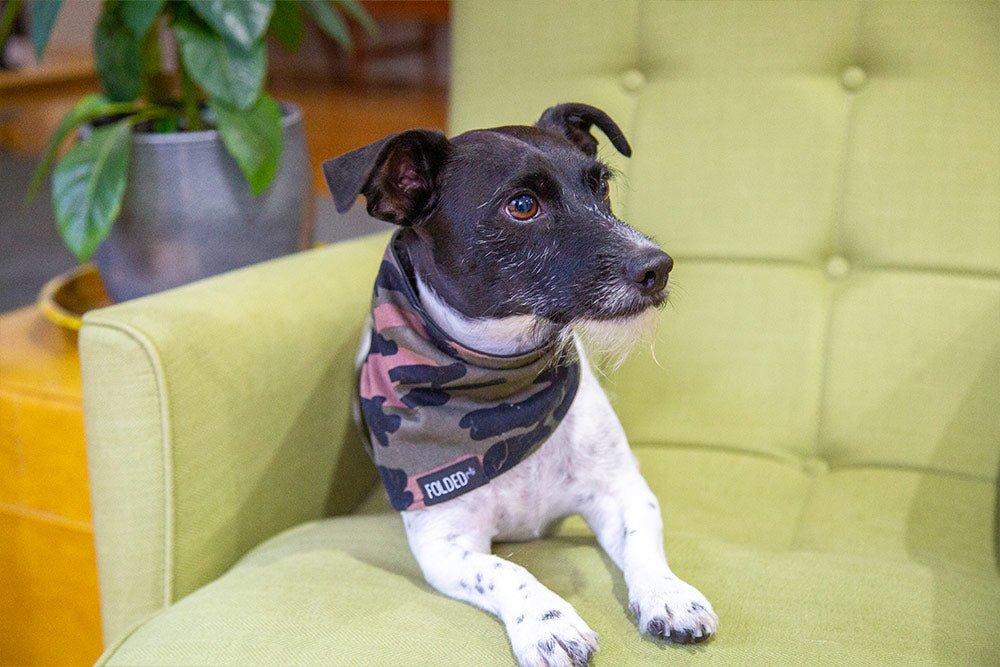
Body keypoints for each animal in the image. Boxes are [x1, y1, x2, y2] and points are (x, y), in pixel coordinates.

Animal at [324, 102, 716, 664]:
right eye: (523, 205)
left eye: (600, 186)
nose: (657, 267)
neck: (503, 385)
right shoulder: (442, 543)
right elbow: (507, 570)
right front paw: (547, 622)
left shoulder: (623, 491)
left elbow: (644, 540)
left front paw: (669, 594)